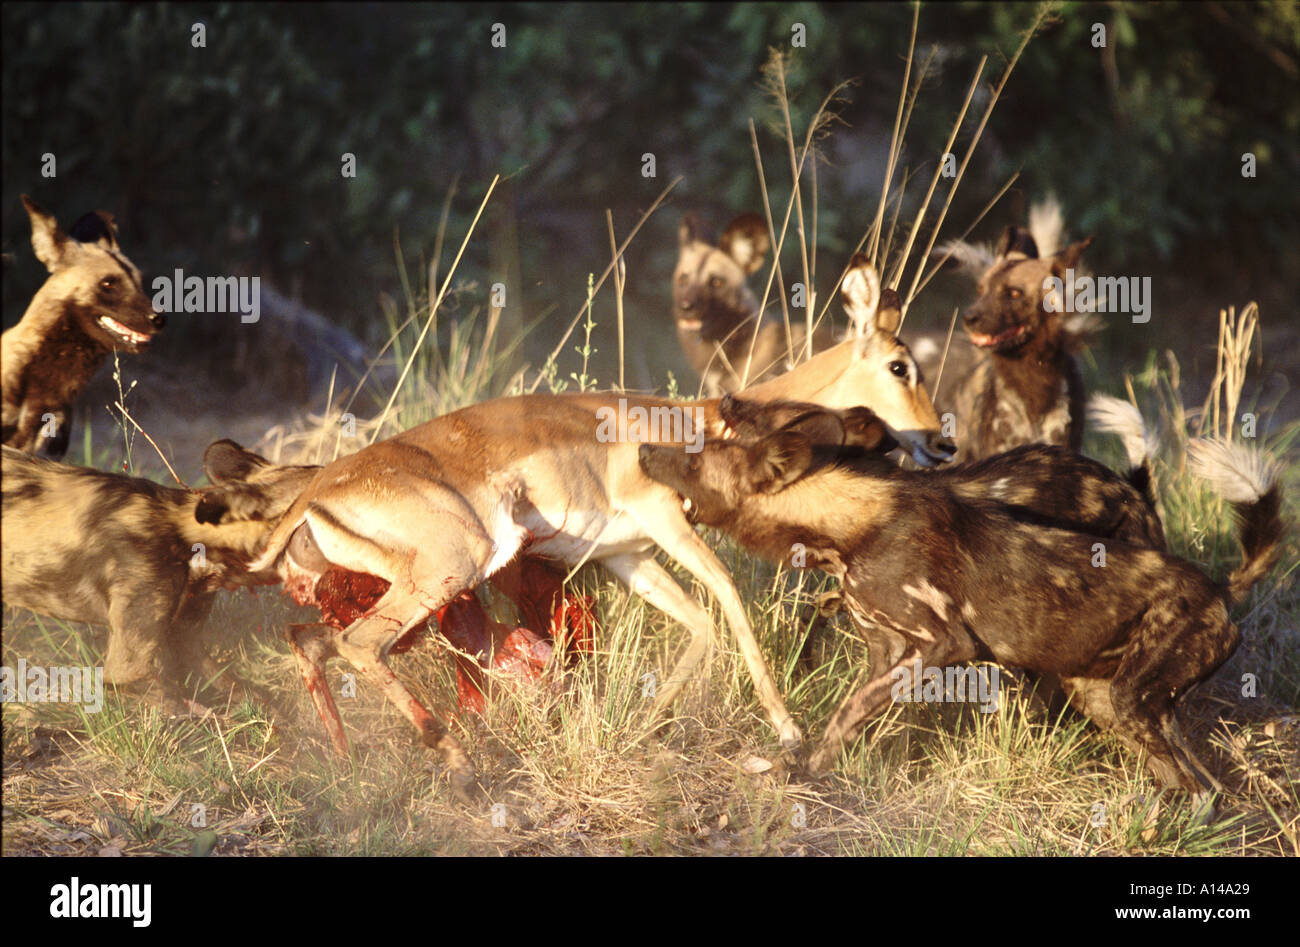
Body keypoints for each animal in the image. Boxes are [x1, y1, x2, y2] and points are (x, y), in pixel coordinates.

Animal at [639, 411, 1279, 785]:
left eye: (694, 458)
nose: (644, 449)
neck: (851, 522)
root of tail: (1221, 589)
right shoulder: (885, 649)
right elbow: (853, 710)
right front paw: (825, 762)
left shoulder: (943, 644)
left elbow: (848, 709)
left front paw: (809, 774)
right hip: (1108, 697)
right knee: (1195, 784)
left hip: (1129, 698)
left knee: (1201, 788)